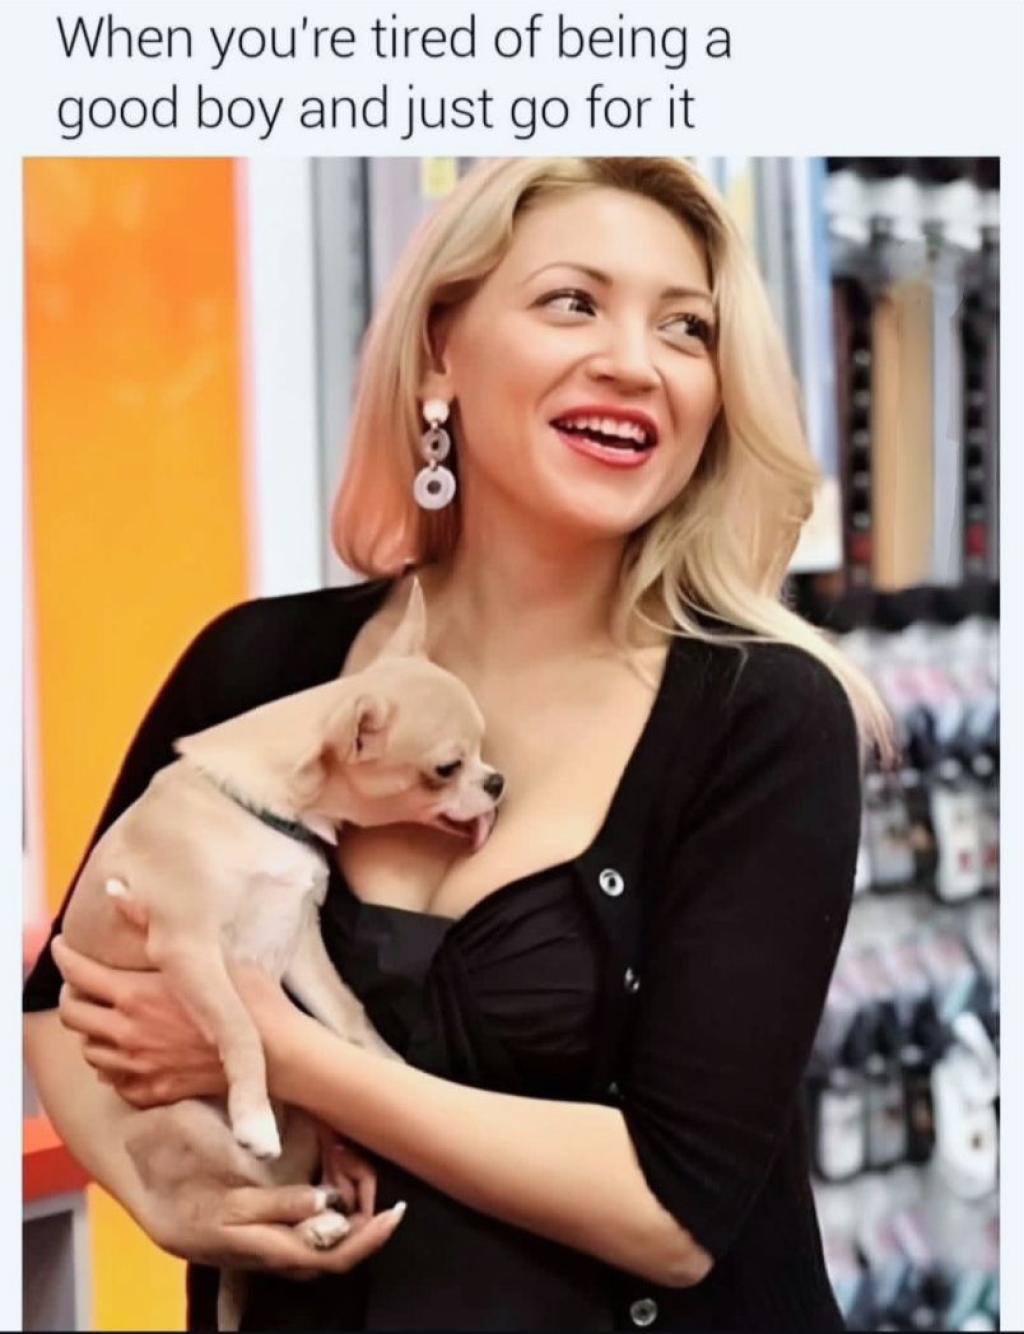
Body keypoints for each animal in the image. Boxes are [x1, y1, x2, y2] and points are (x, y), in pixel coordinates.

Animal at [58, 581, 503, 1327]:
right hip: (188, 1128)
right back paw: (311, 1215)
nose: (496, 781)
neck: (267, 813)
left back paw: (328, 1206)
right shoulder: (188, 945)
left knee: (293, 1180)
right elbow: (240, 1027)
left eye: (483, 750)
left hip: (311, 1120)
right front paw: (252, 1112)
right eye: (446, 769)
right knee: (251, 1192)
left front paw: (387, 1065)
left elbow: (347, 1013)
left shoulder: (296, 939)